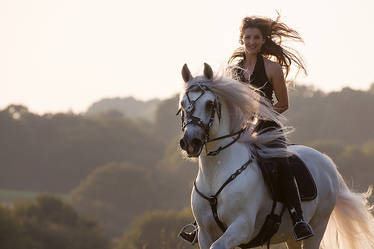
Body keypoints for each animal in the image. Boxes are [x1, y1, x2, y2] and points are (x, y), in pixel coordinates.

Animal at [177, 63, 374, 248]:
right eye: (182, 105)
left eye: (210, 104)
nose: (191, 142)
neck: (217, 171)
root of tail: (325, 160)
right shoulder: (205, 233)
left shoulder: (242, 226)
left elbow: (218, 245)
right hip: (290, 236)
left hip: (318, 226)